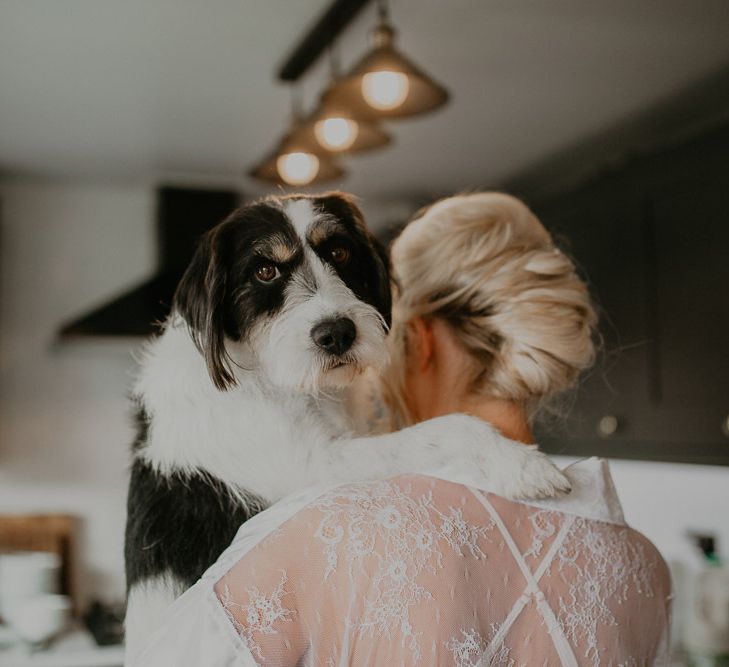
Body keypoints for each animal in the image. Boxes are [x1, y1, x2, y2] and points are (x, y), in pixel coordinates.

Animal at [125, 193, 568, 656]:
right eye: (265, 271)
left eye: (339, 252)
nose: (337, 333)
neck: (285, 382)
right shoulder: (316, 467)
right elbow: (452, 426)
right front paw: (522, 463)